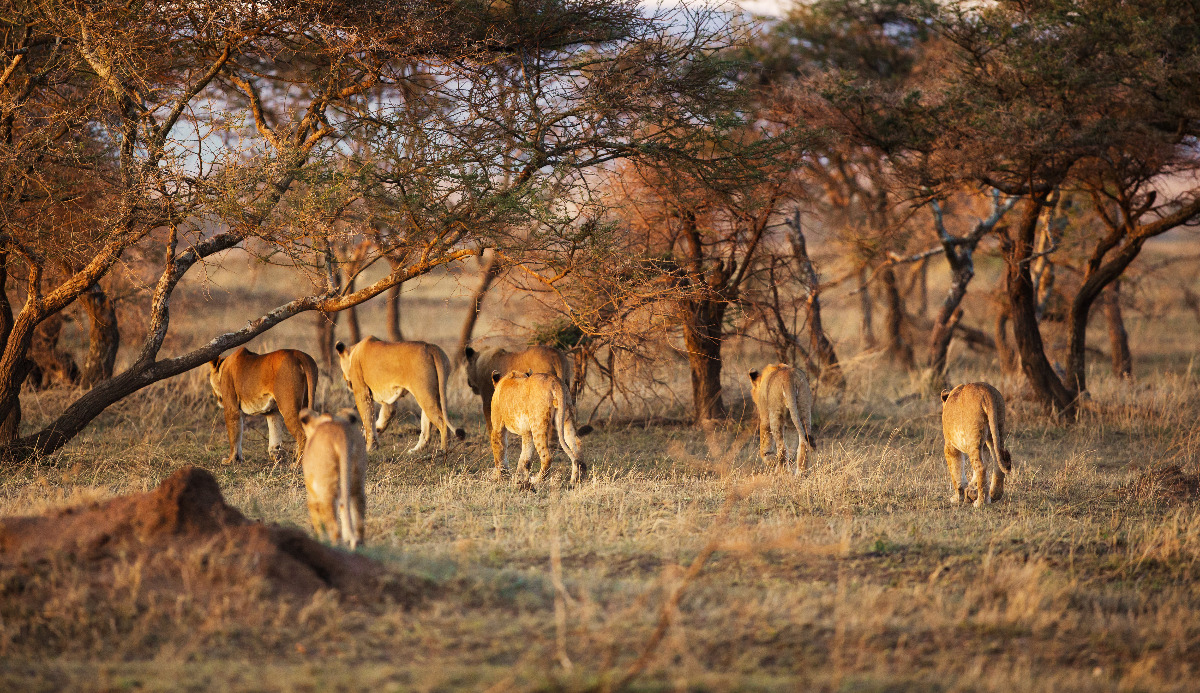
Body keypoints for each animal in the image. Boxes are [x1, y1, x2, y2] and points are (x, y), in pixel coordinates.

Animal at [298, 407, 364, 546]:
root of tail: (340, 433)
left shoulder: (312, 493)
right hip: (357, 482)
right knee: (359, 524)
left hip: (326, 488)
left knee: (334, 529)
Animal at [340, 335, 470, 453]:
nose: (346, 381)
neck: (354, 351)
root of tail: (431, 347)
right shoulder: (390, 401)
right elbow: (381, 418)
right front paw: (373, 437)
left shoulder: (362, 392)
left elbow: (368, 420)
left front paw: (370, 447)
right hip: (434, 392)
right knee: (427, 426)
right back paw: (416, 450)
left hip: (423, 392)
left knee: (442, 422)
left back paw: (443, 450)